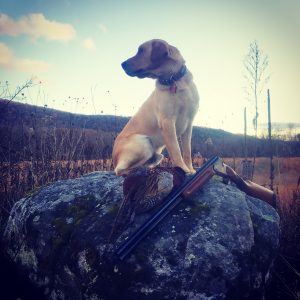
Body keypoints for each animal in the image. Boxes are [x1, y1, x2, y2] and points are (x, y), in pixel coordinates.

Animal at [112, 39, 199, 176]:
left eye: (141, 50)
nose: (122, 64)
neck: (174, 81)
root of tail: (114, 158)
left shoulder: (189, 123)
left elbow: (187, 151)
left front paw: (190, 169)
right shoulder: (167, 122)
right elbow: (176, 150)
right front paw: (182, 168)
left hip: (157, 155)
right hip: (143, 142)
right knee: (119, 170)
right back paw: (136, 170)